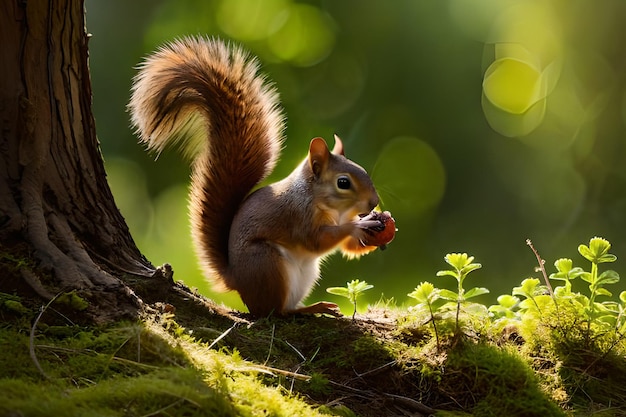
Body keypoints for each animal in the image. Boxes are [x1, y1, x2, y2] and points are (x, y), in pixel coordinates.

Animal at [128, 38, 390, 316]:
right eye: (343, 183)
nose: (373, 202)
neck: (326, 205)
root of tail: (237, 281)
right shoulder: (298, 217)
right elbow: (316, 241)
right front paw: (359, 225)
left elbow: (348, 247)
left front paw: (376, 226)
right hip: (267, 264)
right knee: (275, 311)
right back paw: (306, 309)